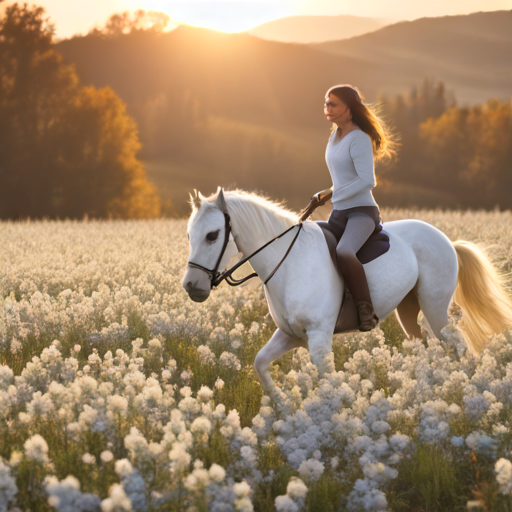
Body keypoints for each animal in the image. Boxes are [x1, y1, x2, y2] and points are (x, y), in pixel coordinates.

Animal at [182, 188, 512, 396]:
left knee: (457, 345)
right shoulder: (291, 334)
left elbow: (329, 383)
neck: (287, 262)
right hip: (408, 310)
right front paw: (281, 406)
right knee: (425, 348)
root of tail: (447, 240)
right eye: (189, 234)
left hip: (436, 308)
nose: (191, 287)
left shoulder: (318, 338)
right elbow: (260, 363)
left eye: (212, 235)